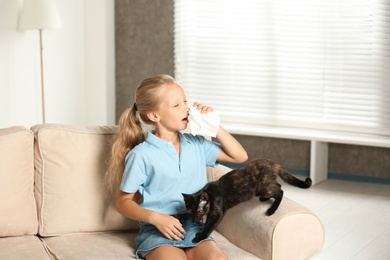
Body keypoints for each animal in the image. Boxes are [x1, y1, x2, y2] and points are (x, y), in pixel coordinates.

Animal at [181, 158, 312, 244]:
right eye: (190, 211)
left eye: (198, 211)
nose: (194, 221)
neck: (209, 194)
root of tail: (274, 163)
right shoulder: (211, 214)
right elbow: (207, 224)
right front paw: (200, 232)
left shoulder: (217, 213)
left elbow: (209, 227)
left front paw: (199, 237)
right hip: (265, 187)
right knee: (278, 186)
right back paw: (264, 199)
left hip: (262, 187)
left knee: (280, 191)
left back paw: (271, 210)